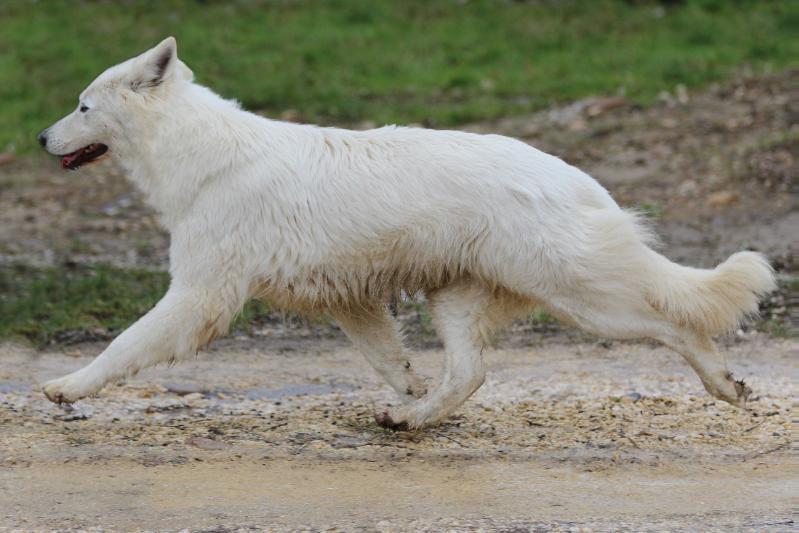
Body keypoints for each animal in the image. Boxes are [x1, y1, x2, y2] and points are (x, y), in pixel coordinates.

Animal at [36, 37, 776, 428]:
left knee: (674, 324)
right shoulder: (349, 299)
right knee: (469, 373)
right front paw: (408, 394)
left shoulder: (197, 295)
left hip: (581, 298)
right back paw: (412, 421)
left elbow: (123, 346)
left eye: (82, 107)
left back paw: (723, 383)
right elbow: (390, 361)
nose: (41, 137)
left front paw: (68, 386)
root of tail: (573, 175)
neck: (194, 150)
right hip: (458, 298)